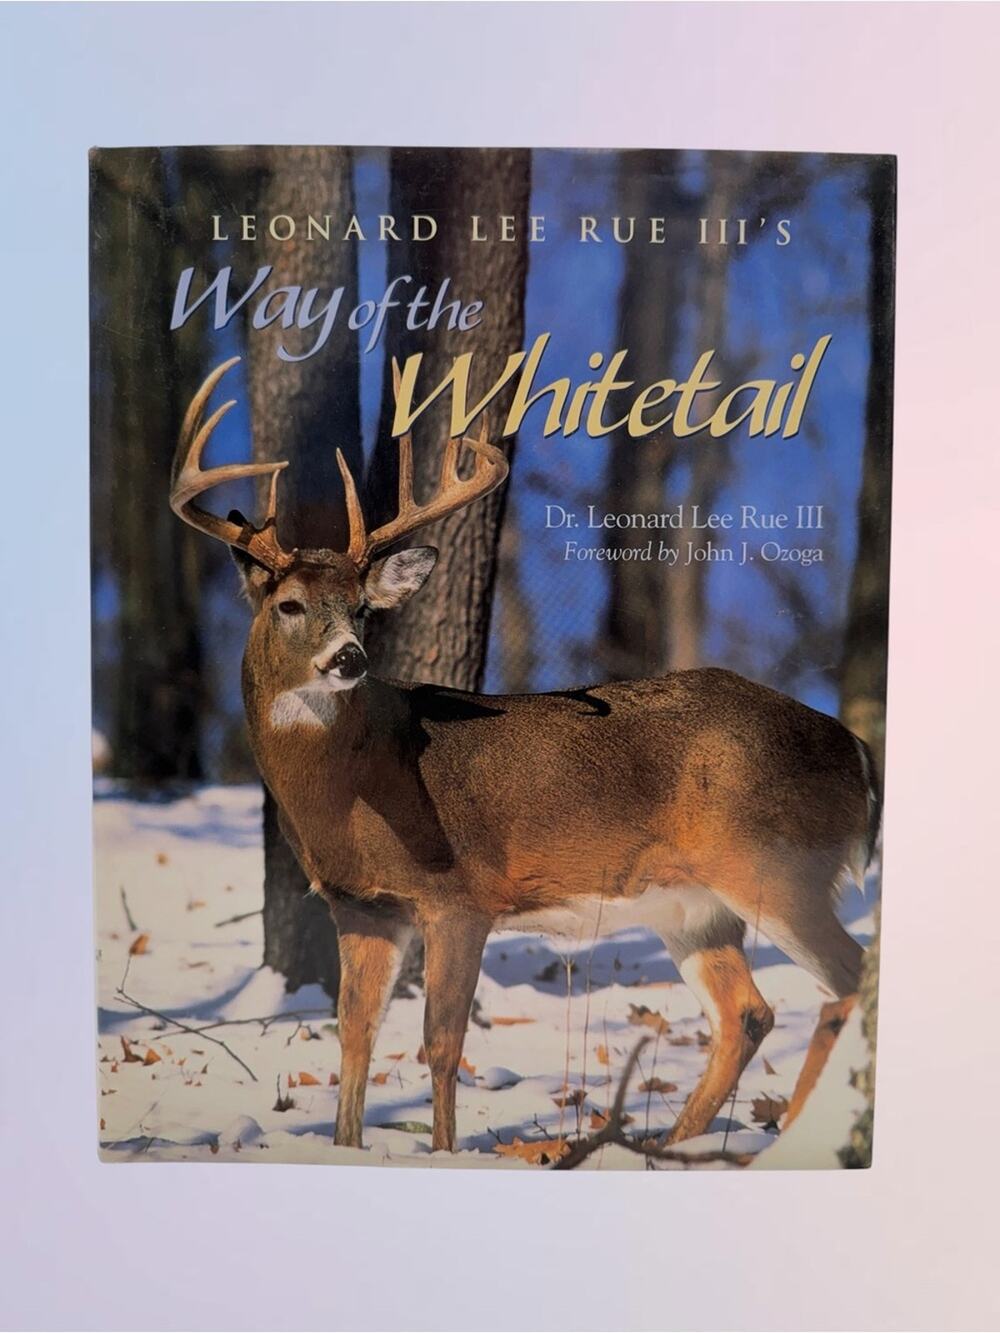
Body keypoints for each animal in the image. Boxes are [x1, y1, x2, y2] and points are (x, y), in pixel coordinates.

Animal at [170, 357, 880, 1155]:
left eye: (361, 607)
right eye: (288, 604)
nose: (350, 657)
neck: (351, 788)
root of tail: (858, 751)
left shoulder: (461, 894)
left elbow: (440, 1041)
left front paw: (444, 1153)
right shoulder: (363, 906)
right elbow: (355, 1035)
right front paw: (348, 1147)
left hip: (779, 865)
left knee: (849, 981)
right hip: (692, 906)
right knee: (747, 1013)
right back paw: (672, 1146)